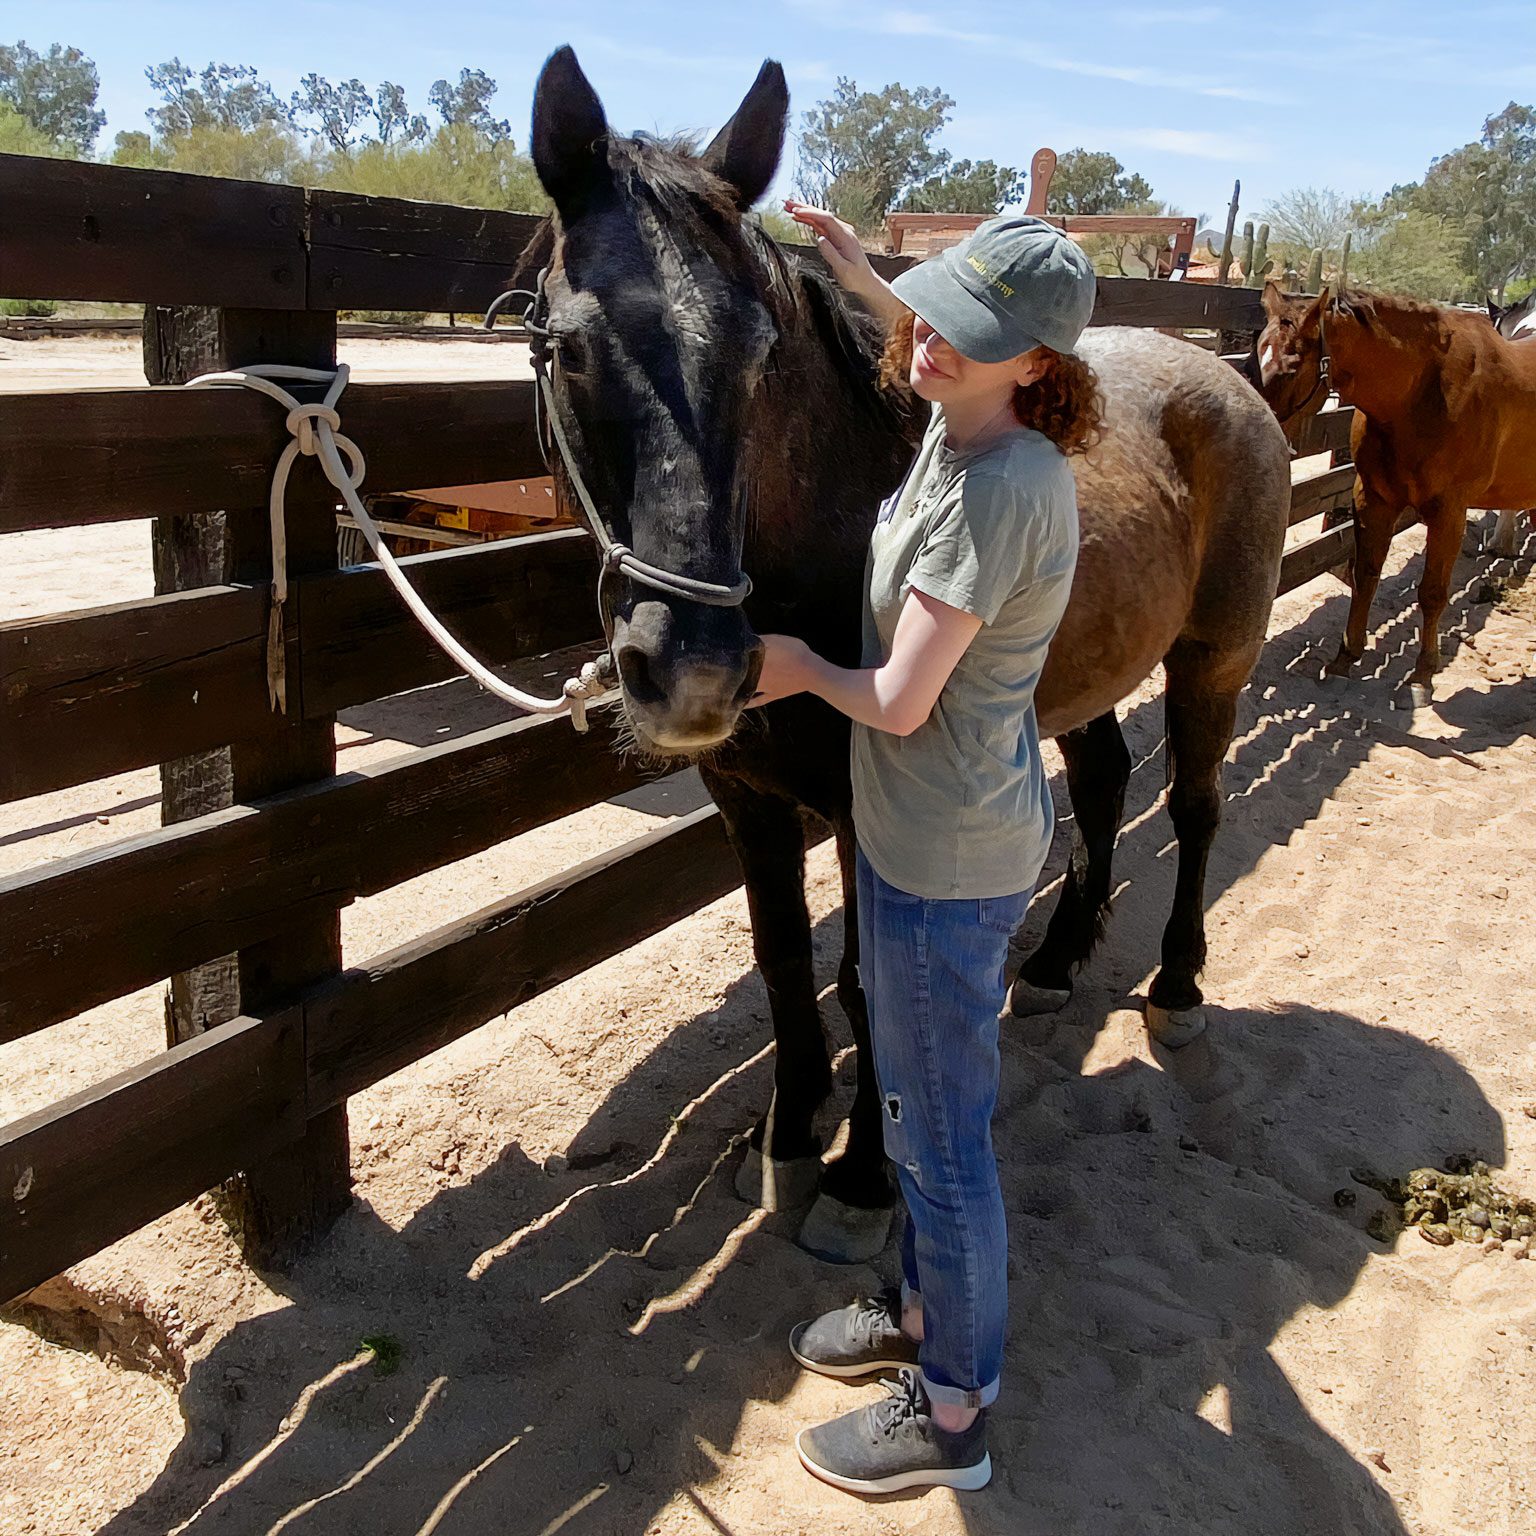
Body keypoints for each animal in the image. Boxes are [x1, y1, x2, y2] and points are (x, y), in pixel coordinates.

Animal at [528, 54, 1296, 1265]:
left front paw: (860, 1181)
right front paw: (787, 1139)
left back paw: (1177, 990)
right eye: (567, 347)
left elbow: (862, 983)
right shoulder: (746, 797)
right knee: (1104, 783)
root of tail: (1221, 376)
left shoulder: (862, 809)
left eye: (762, 353)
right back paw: (1052, 965)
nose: (694, 666)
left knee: (1197, 805)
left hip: (1213, 662)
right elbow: (783, 964)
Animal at [1259, 282, 1536, 703]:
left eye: (1291, 367)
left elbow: (1432, 592)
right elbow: (1366, 576)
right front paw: (1344, 659)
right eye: (1258, 349)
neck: (1420, 394)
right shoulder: (1374, 499)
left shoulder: (1448, 513)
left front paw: (1421, 676)